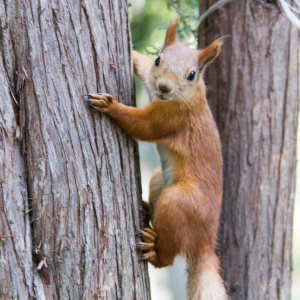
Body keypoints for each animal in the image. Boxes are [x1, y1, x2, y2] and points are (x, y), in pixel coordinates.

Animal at [86, 19, 227, 298]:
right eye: (158, 60)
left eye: (192, 74)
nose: (163, 87)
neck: (188, 95)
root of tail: (205, 243)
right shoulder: (150, 81)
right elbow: (141, 65)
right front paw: (132, 54)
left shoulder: (172, 118)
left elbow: (144, 126)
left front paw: (110, 106)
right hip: (159, 179)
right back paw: (145, 208)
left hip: (179, 202)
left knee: (168, 257)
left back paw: (154, 251)